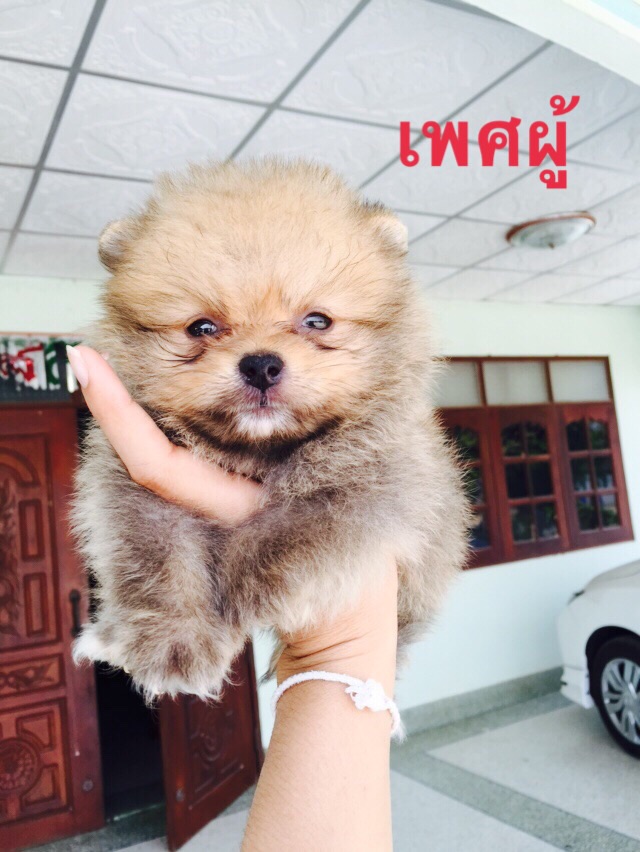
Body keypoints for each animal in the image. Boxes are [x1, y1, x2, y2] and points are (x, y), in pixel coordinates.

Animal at [72, 158, 470, 701]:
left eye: (317, 321)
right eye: (201, 328)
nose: (260, 364)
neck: (261, 452)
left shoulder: (385, 482)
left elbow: (294, 530)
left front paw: (239, 585)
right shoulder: (128, 479)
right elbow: (157, 553)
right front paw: (171, 641)